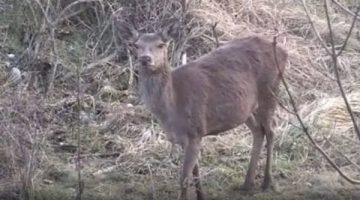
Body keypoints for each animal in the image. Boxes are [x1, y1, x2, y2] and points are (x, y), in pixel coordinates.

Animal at [117, 20, 286, 200]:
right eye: (136, 45)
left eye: (161, 44)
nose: (145, 59)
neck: (172, 109)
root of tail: (283, 52)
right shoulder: (187, 137)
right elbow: (195, 171)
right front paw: (201, 195)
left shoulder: (195, 129)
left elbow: (184, 177)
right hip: (247, 109)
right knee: (258, 131)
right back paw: (247, 184)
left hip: (269, 92)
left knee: (271, 131)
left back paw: (266, 182)